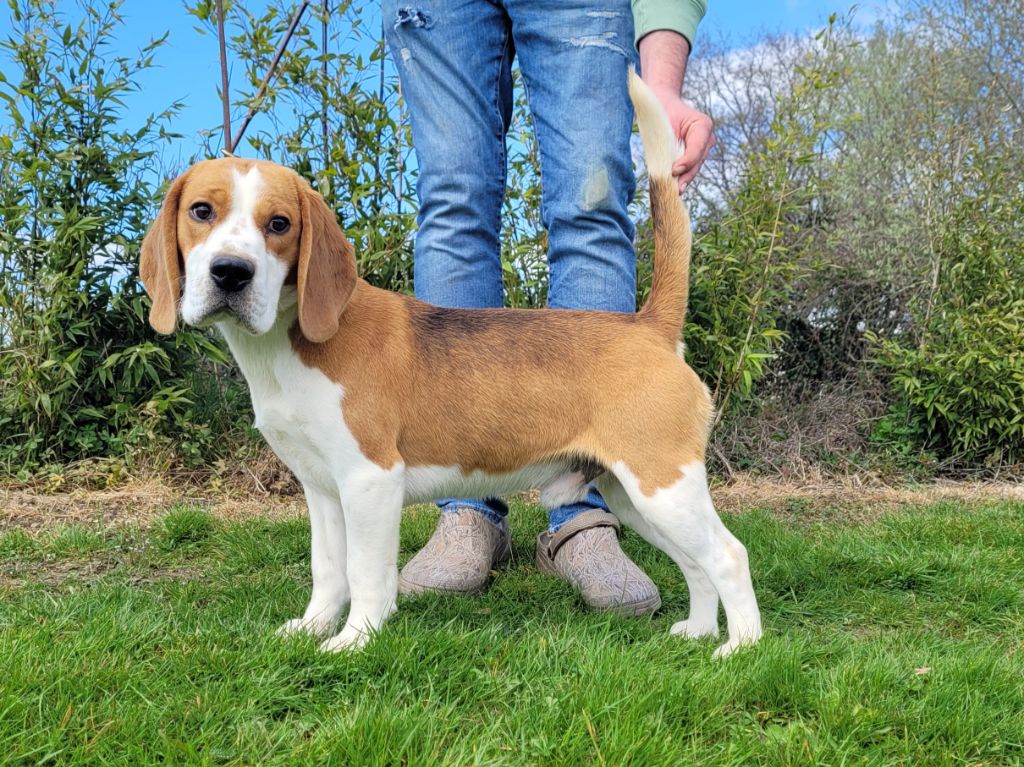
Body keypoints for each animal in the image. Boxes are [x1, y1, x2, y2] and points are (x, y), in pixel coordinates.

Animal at [142, 73, 761, 659]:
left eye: (279, 224)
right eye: (201, 212)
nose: (231, 272)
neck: (284, 344)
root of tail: (649, 326)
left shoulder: (370, 480)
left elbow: (366, 574)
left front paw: (354, 640)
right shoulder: (322, 488)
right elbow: (328, 570)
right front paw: (312, 628)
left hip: (663, 484)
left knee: (729, 555)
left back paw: (742, 649)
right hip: (632, 494)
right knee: (696, 564)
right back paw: (699, 631)